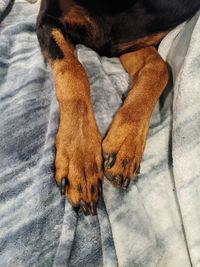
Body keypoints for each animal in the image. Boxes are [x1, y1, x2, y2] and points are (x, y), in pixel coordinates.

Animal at [36, 0, 200, 217]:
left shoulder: (130, 44)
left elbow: (160, 69)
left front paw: (126, 141)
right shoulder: (48, 19)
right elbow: (72, 69)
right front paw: (79, 155)